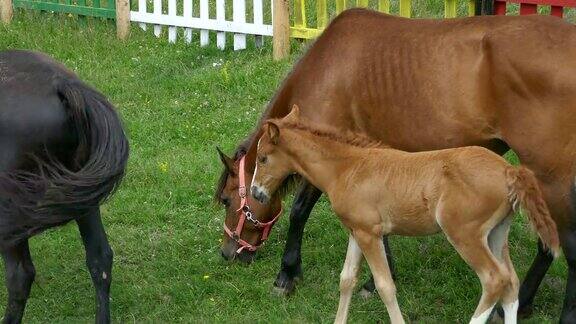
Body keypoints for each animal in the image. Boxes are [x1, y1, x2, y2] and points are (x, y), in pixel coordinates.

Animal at [251, 107, 560, 322]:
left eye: (263, 158)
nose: (256, 192)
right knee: (510, 283)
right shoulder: (357, 231)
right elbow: (346, 279)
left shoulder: (370, 234)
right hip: (497, 232)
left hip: (464, 233)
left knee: (494, 279)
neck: (347, 167)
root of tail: (509, 171)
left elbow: (385, 285)